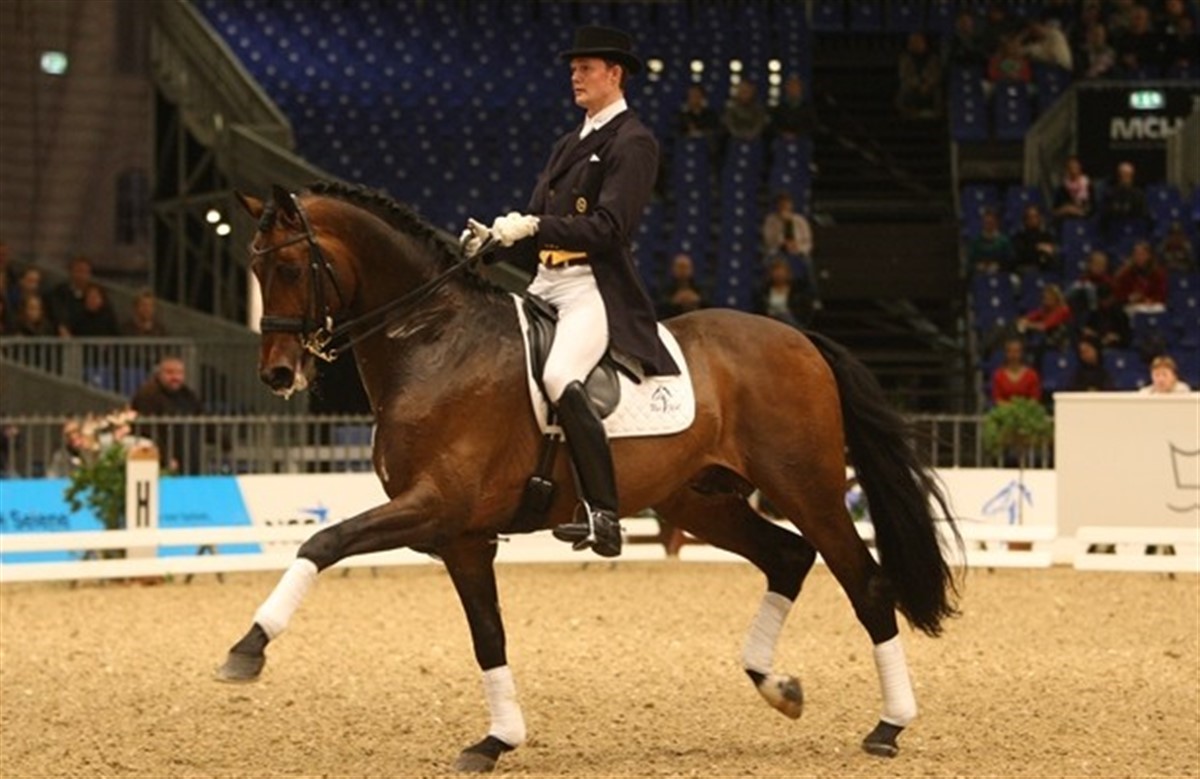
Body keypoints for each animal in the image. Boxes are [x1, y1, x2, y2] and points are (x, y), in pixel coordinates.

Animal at [217, 181, 960, 773]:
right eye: (252, 267)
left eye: (290, 265)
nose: (279, 374)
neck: (433, 342)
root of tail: (800, 338)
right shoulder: (462, 536)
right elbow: (488, 634)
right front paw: (496, 739)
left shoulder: (435, 505)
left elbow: (323, 542)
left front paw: (247, 649)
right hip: (700, 501)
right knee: (788, 556)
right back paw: (777, 686)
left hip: (807, 488)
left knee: (863, 582)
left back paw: (889, 725)